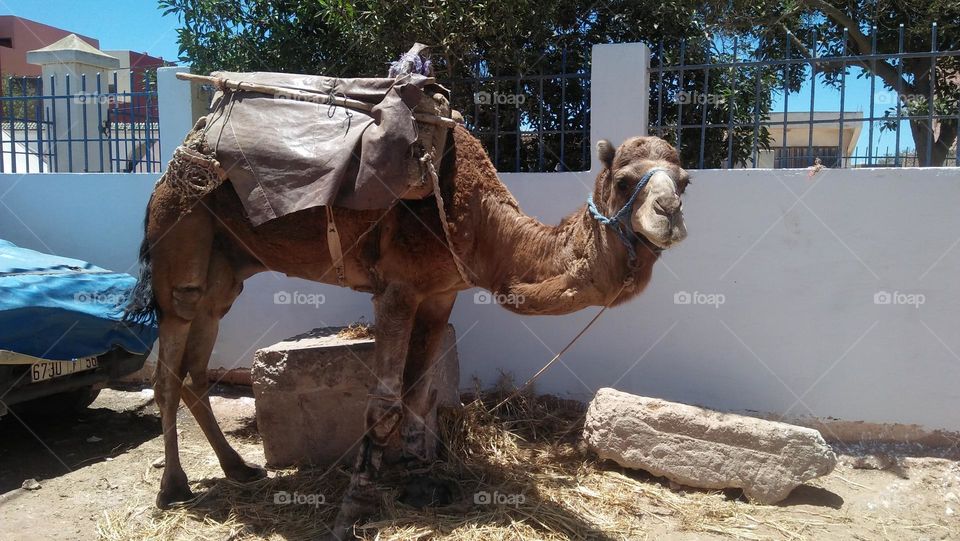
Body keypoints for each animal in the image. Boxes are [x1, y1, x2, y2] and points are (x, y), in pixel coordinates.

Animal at [126, 124, 689, 539]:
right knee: (168, 372)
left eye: (684, 182)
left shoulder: (439, 291)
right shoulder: (396, 288)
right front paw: (353, 510)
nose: (670, 214)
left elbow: (420, 392)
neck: (480, 223)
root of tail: (164, 176)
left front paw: (422, 487)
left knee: (197, 370)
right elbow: (384, 404)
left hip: (226, 271)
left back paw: (239, 469)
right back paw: (172, 488)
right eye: (625, 180)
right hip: (181, 246)